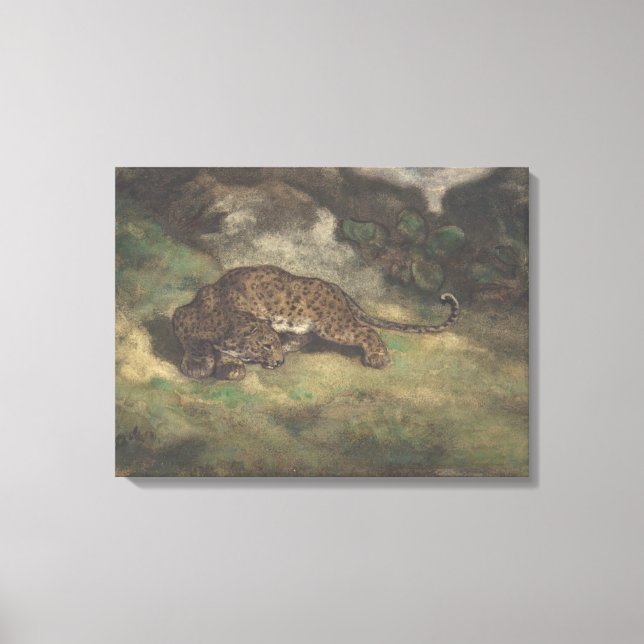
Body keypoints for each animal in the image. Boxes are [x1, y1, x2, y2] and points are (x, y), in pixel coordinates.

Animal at [172, 265, 459, 380]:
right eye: (266, 346)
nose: (279, 361)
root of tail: (337, 287)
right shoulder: (181, 315)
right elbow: (197, 342)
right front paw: (210, 363)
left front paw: (217, 365)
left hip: (333, 325)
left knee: (367, 330)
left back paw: (377, 357)